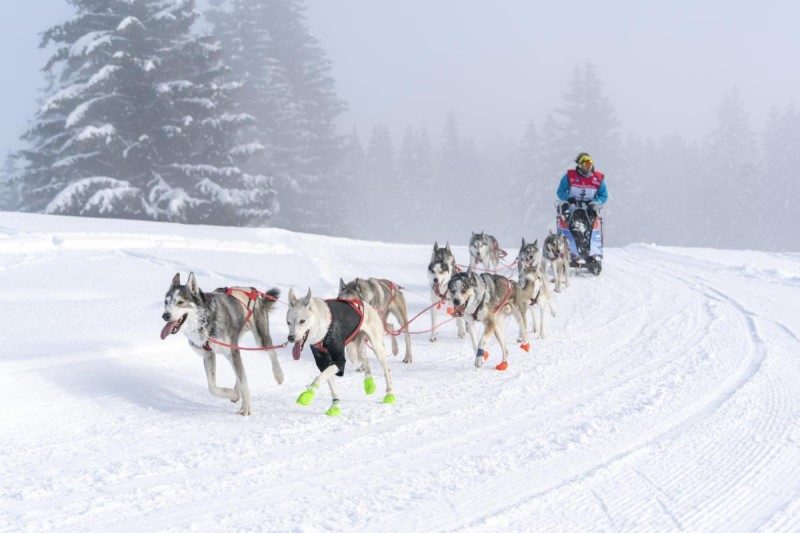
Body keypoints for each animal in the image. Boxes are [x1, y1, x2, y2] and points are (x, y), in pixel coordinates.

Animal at [160, 270, 284, 416]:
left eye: (180, 302)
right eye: (166, 302)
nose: (165, 315)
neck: (206, 321)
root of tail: (255, 292)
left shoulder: (231, 351)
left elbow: (244, 382)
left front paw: (247, 408)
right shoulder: (208, 355)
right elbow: (212, 387)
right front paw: (232, 394)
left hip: (259, 339)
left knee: (271, 351)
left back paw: (278, 374)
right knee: (239, 372)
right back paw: (236, 390)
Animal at [290, 286, 396, 416]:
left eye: (302, 321)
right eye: (288, 322)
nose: (290, 338)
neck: (323, 327)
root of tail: (365, 304)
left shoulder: (339, 361)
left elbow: (319, 377)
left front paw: (308, 393)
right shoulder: (323, 361)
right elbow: (329, 381)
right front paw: (335, 406)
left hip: (376, 347)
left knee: (386, 370)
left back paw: (389, 393)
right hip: (353, 351)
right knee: (365, 359)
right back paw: (369, 383)